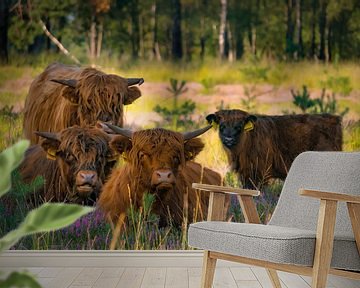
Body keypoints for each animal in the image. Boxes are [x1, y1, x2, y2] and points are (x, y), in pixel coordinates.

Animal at [207, 108, 342, 189]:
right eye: (222, 127)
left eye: (239, 127)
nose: (228, 139)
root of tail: (334, 119)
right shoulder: (246, 175)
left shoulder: (260, 174)